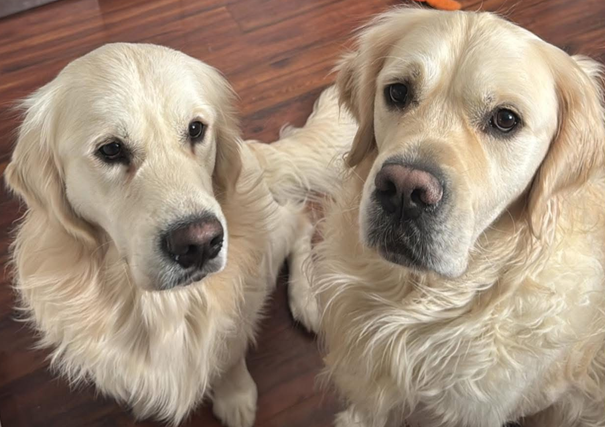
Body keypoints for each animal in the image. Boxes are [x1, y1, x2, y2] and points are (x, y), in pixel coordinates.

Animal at [4, 43, 354, 426]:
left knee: (299, 221)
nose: (200, 243)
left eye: (196, 129)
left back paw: (307, 301)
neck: (153, 303)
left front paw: (235, 395)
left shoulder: (237, 310)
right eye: (110, 149)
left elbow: (229, 354)